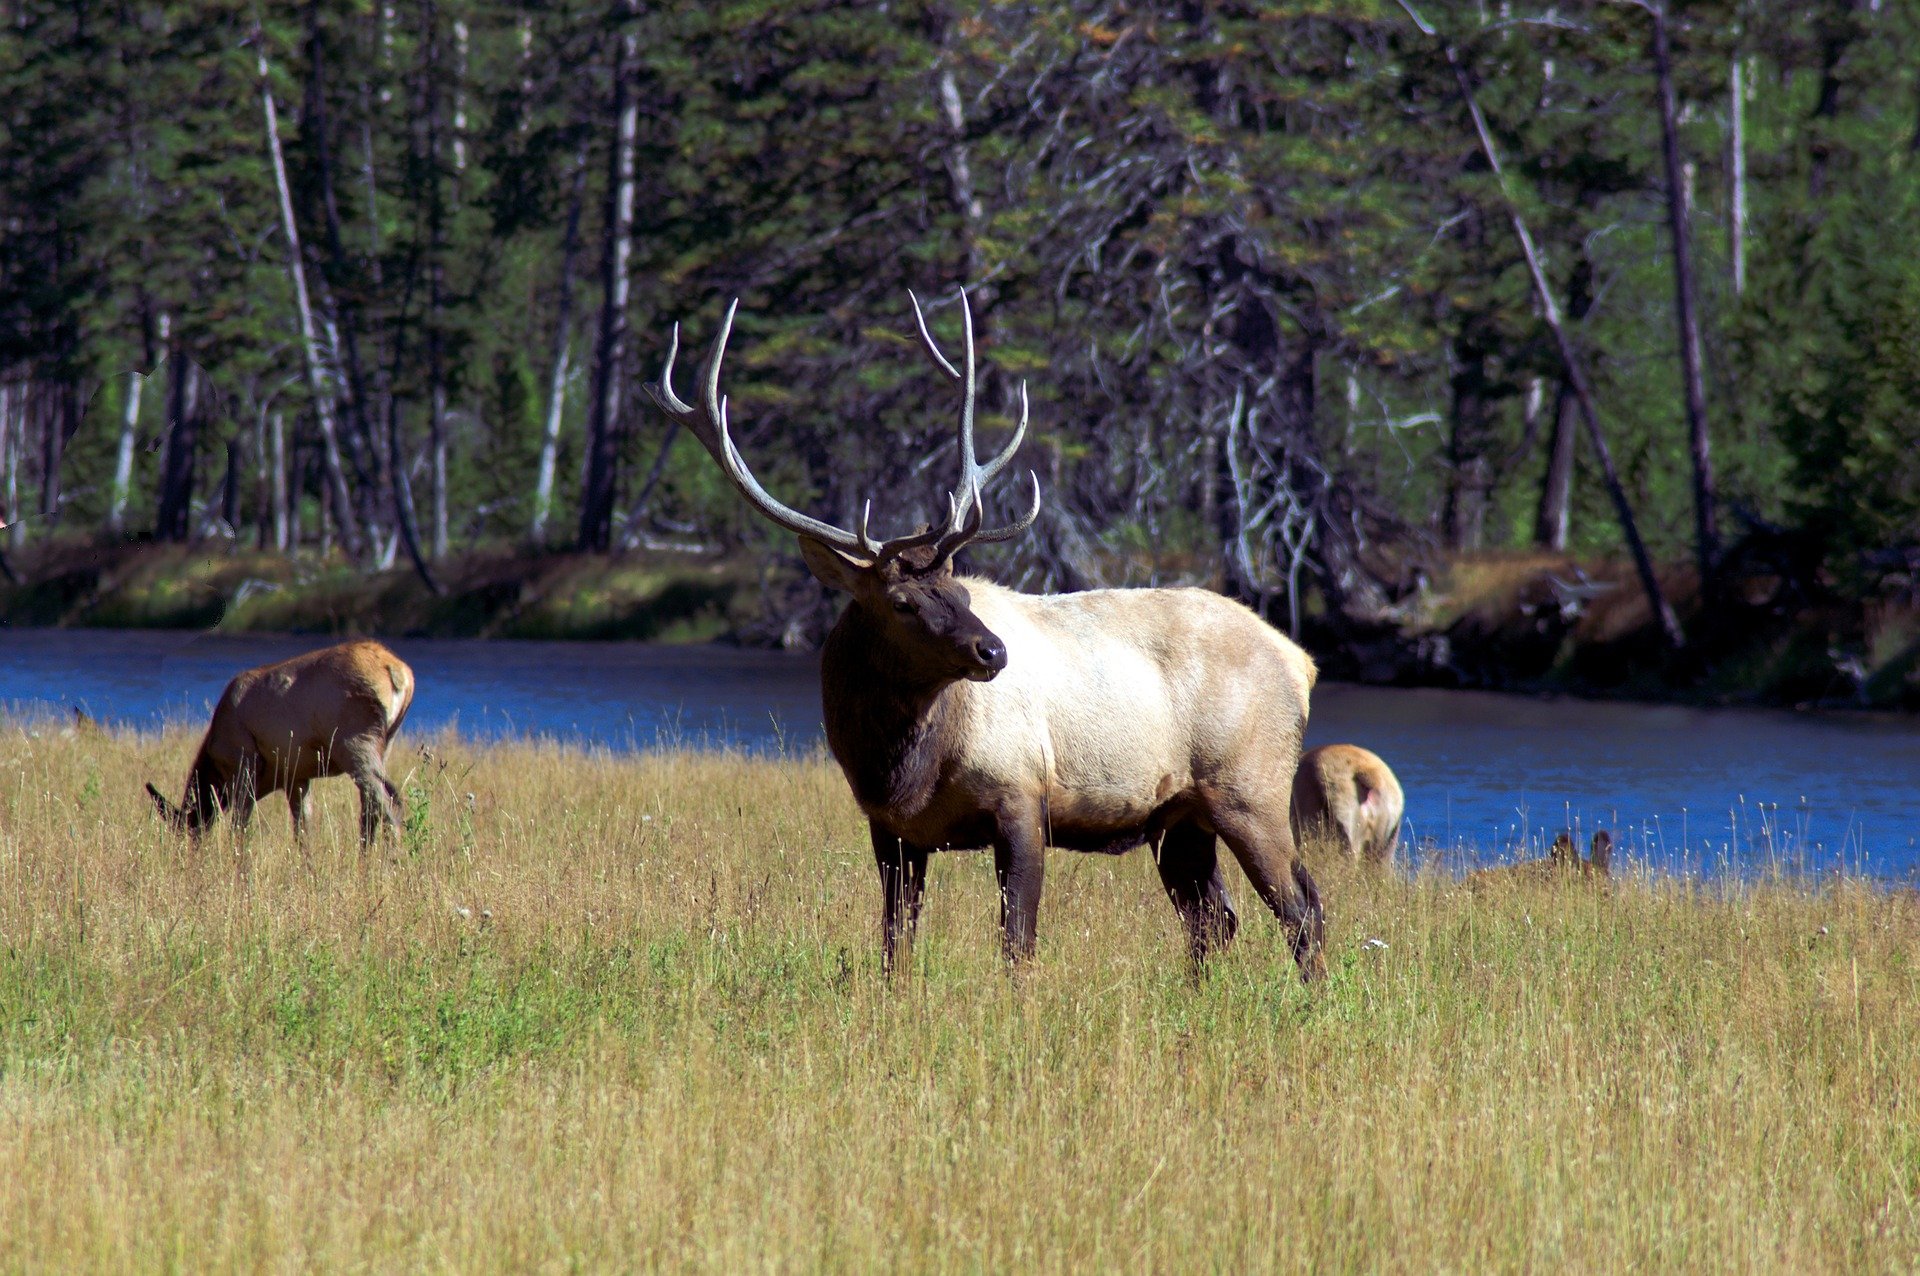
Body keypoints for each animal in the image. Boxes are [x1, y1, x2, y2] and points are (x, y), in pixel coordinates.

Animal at [146, 637, 420, 844]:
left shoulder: (245, 762)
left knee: (388, 805)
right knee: (372, 810)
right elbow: (303, 833)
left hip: (354, 743)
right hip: (383, 743)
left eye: (185, 829)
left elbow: (239, 827)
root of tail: (399, 673)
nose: (191, 855)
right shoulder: (297, 777)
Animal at [641, 293, 1320, 978]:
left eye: (962, 591)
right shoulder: (891, 829)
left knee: (1302, 906)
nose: (993, 650)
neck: (899, 768)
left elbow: (1017, 943)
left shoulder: (1021, 798)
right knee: (1215, 919)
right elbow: (895, 941)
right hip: (1179, 817)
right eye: (901, 601)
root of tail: (1301, 662)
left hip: (1250, 790)